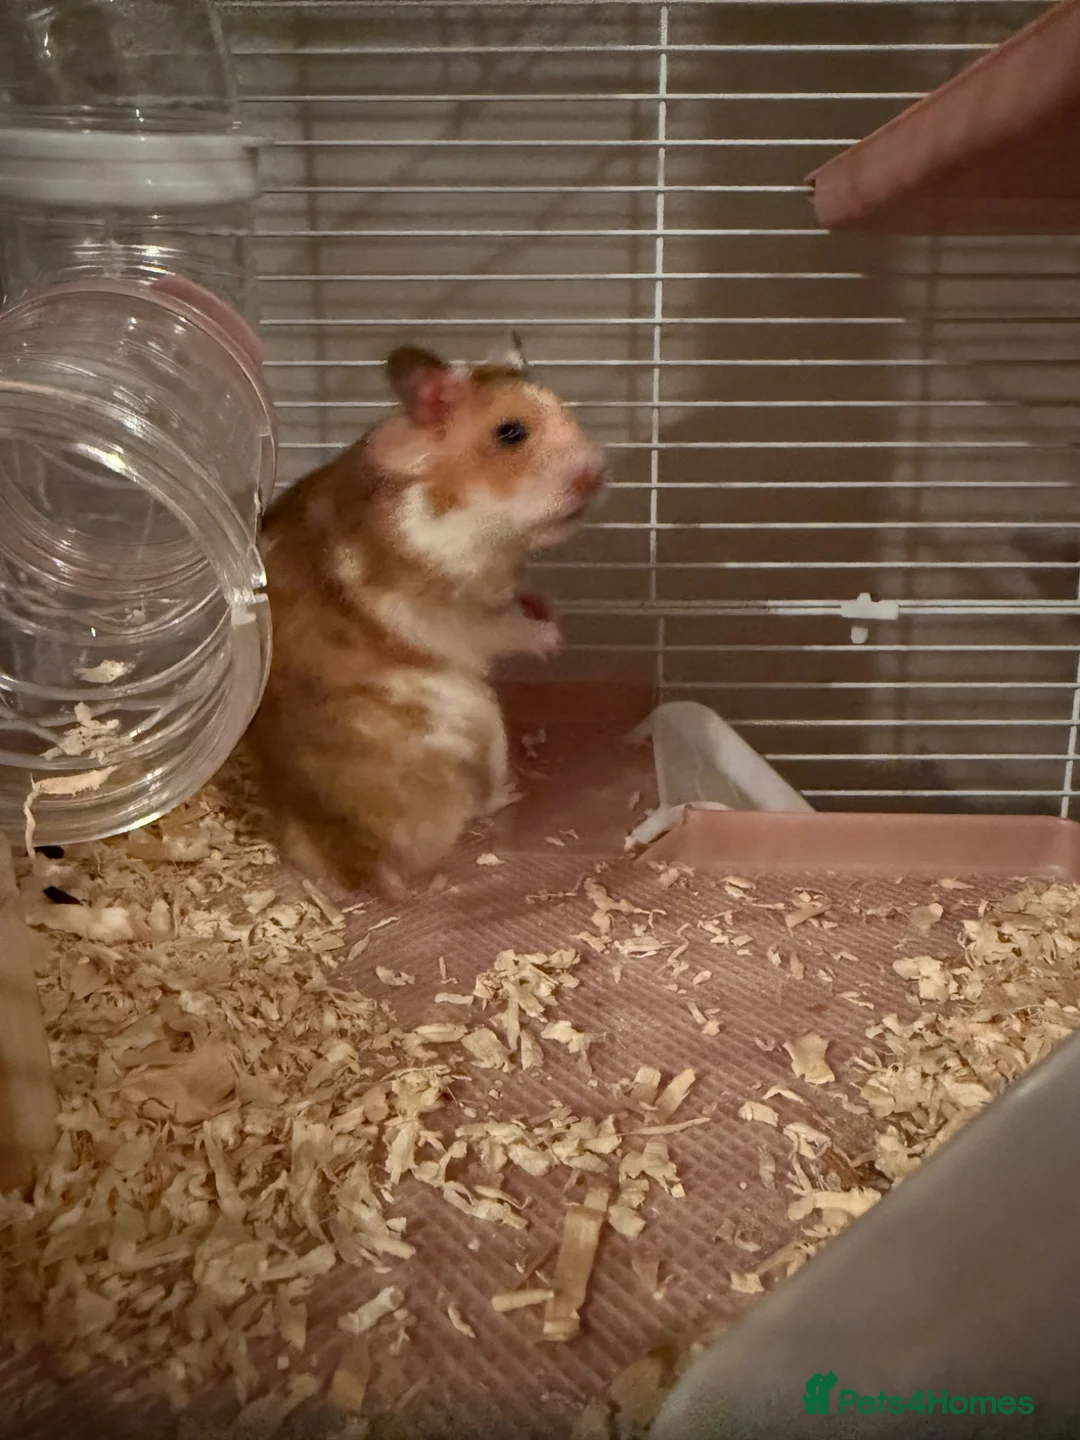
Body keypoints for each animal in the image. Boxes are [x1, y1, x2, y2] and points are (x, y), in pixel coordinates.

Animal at [247, 335, 605, 901]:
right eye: (510, 433)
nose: (599, 472)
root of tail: (370, 871)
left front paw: (546, 606)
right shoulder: (456, 610)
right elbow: (506, 628)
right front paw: (553, 636)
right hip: (479, 720)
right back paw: (507, 794)